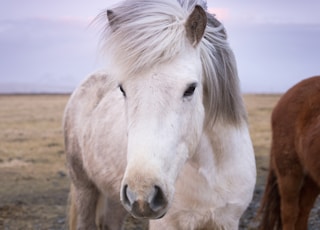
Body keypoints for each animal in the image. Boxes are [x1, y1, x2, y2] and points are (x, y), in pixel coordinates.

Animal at [63, 0, 256, 230]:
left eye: (190, 89)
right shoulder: (166, 223)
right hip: (84, 187)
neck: (211, 173)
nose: (142, 195)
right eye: (122, 89)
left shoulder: (227, 220)